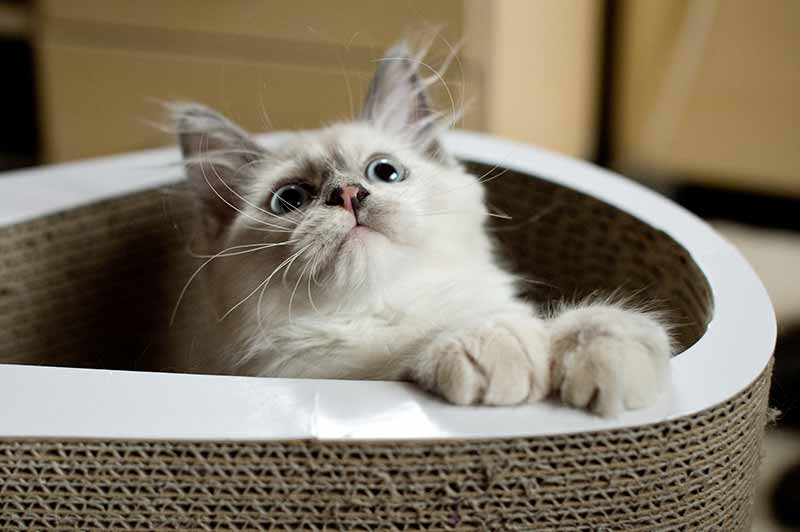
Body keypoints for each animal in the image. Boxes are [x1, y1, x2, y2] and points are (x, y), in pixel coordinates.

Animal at [172, 41, 672, 416]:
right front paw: (490, 342)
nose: (348, 194)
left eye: (384, 172)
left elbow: (581, 322)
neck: (386, 308)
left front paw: (611, 348)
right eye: (289, 199)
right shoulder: (334, 372)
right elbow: (412, 352)